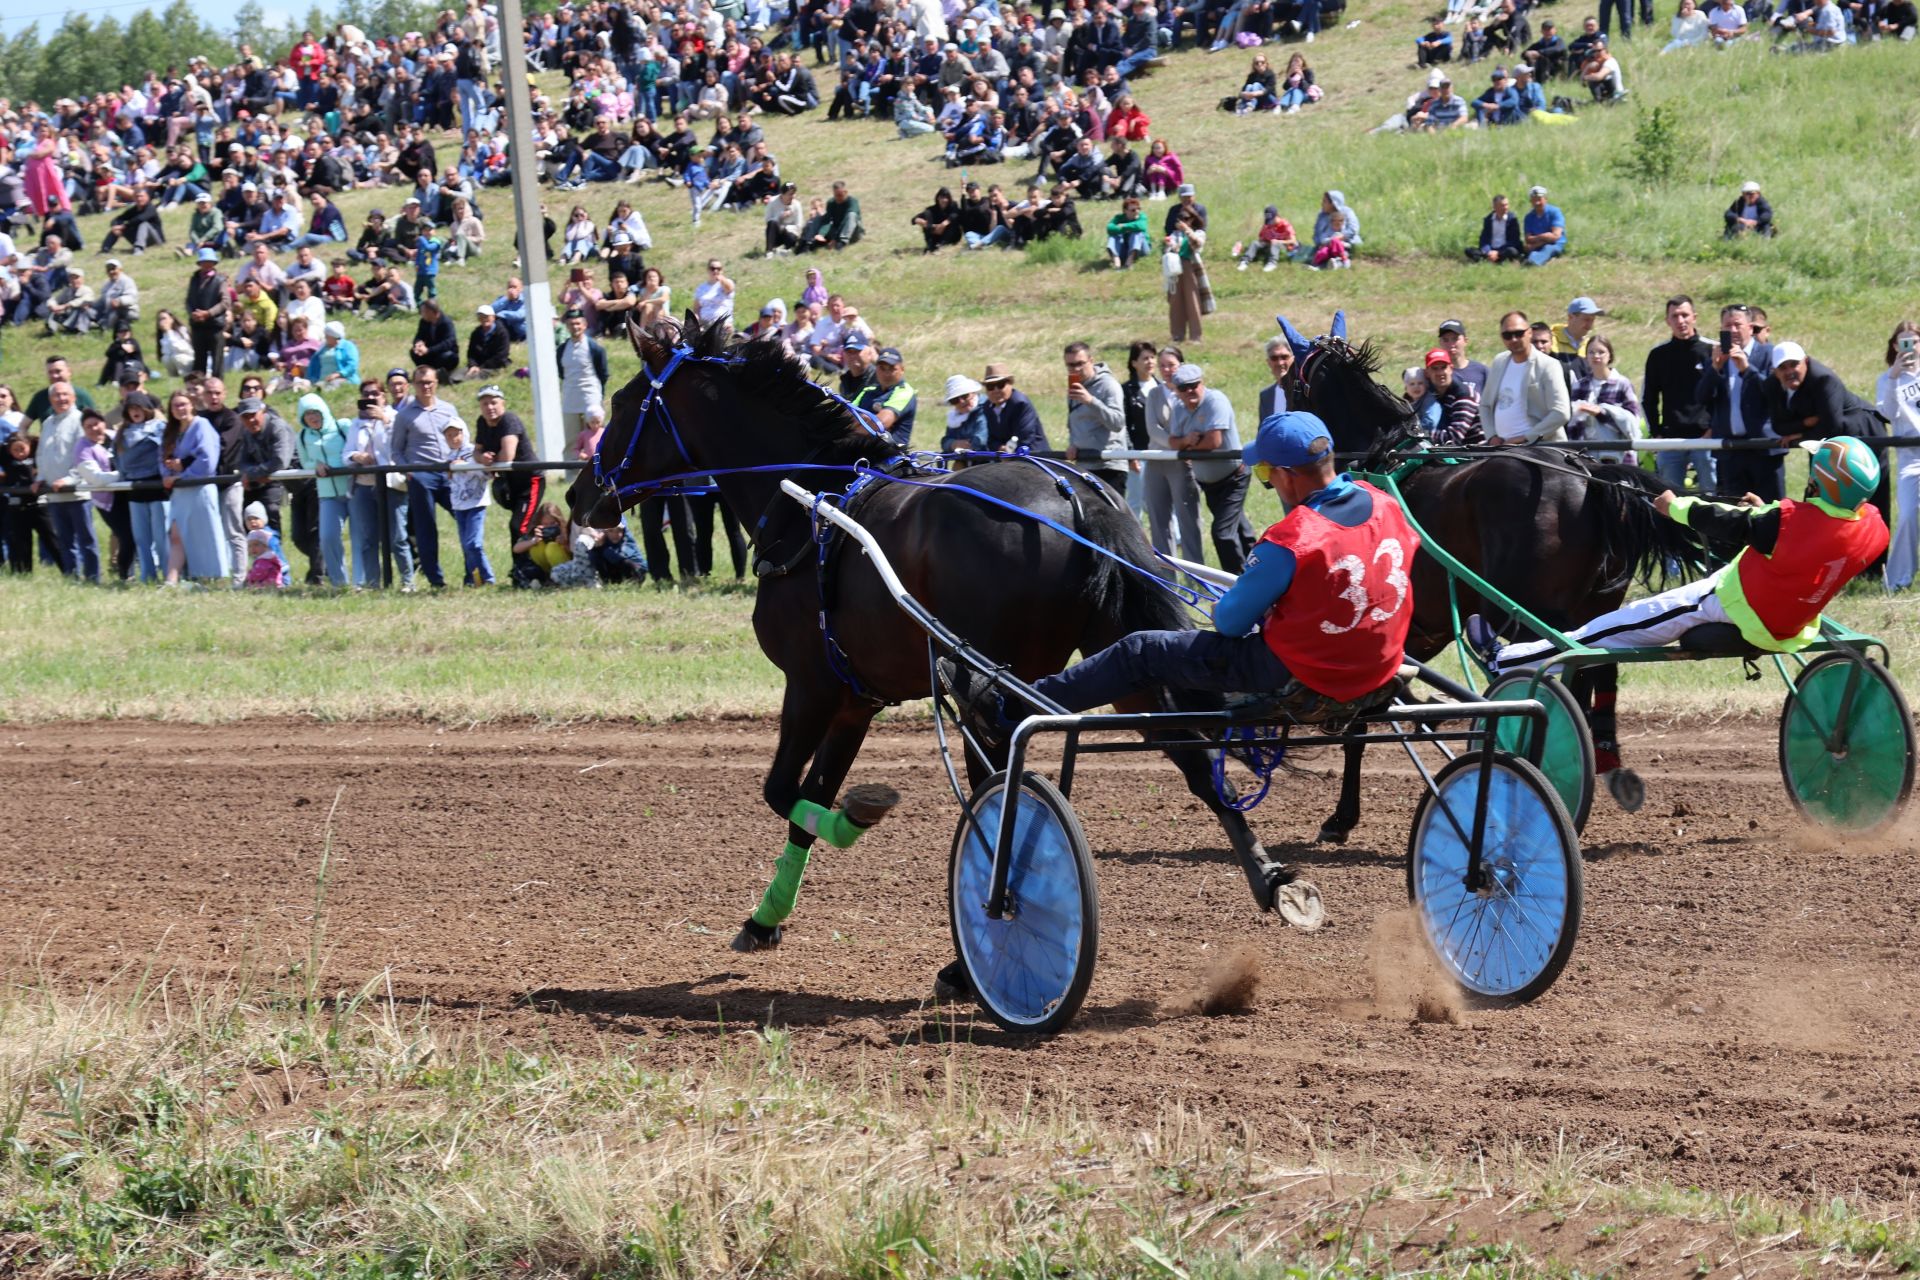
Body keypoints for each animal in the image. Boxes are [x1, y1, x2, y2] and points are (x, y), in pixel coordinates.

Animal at [568, 320, 1313, 971]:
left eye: (623, 403)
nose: (579, 494)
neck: (810, 503)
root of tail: (1075, 493)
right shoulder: (853, 699)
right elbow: (805, 802)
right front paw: (766, 917)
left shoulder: (809, 684)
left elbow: (785, 792)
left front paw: (855, 819)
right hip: (1115, 653)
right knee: (1193, 756)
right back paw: (1273, 880)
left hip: (998, 683)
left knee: (1013, 784)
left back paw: (984, 939)